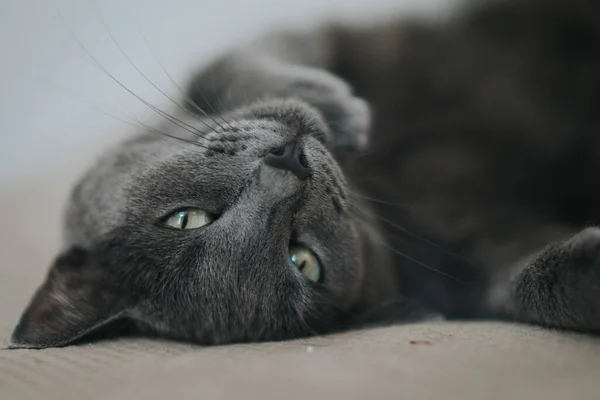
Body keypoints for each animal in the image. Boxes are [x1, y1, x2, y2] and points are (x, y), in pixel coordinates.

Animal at [10, 0, 600, 346]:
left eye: (184, 218)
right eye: (303, 260)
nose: (288, 164)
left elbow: (222, 65)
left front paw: (334, 106)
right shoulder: (465, 255)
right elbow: (517, 282)